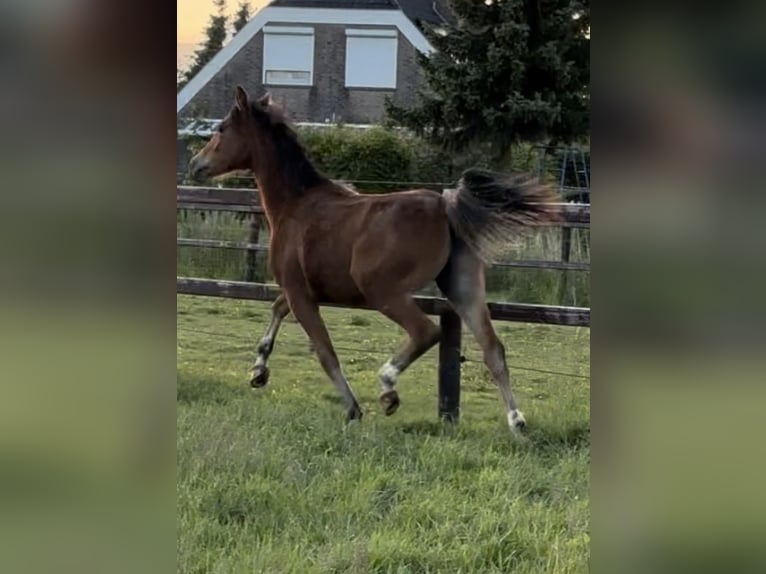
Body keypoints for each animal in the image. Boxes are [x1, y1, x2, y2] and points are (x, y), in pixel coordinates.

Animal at [188, 88, 560, 434]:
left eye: (221, 129)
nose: (195, 165)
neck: (295, 205)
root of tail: (444, 205)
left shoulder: (300, 293)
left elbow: (325, 351)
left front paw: (353, 409)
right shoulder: (304, 290)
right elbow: (277, 309)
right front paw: (258, 370)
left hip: (383, 291)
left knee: (426, 331)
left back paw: (388, 390)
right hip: (463, 287)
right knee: (493, 349)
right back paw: (517, 421)